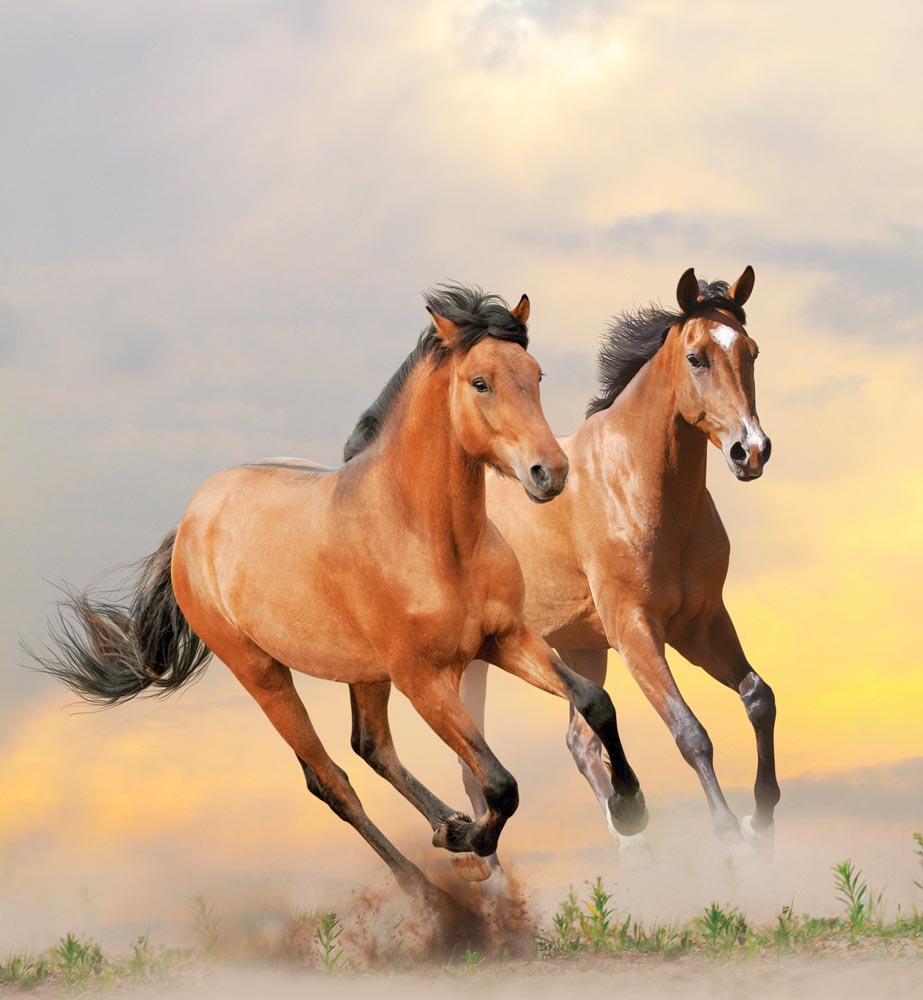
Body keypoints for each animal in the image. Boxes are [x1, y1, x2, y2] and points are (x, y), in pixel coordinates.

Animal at [31, 284, 648, 922]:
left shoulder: (505, 639)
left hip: (364, 672)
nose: (550, 473)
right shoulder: (424, 680)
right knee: (331, 779)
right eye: (481, 382)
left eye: (536, 374)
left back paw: (447, 830)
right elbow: (501, 783)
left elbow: (595, 701)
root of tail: (191, 521)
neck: (432, 537)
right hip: (263, 674)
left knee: (371, 746)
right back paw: (430, 889)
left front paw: (629, 809)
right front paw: (472, 841)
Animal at [455, 267, 778, 885]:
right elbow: (690, 732)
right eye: (697, 357)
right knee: (472, 766)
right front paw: (731, 836)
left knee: (579, 741)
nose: (751, 452)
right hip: (474, 665)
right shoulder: (635, 630)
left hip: (580, 648)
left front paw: (762, 820)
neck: (640, 484)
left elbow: (758, 698)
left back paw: (634, 845)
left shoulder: (701, 624)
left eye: (751, 351)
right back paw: (497, 880)